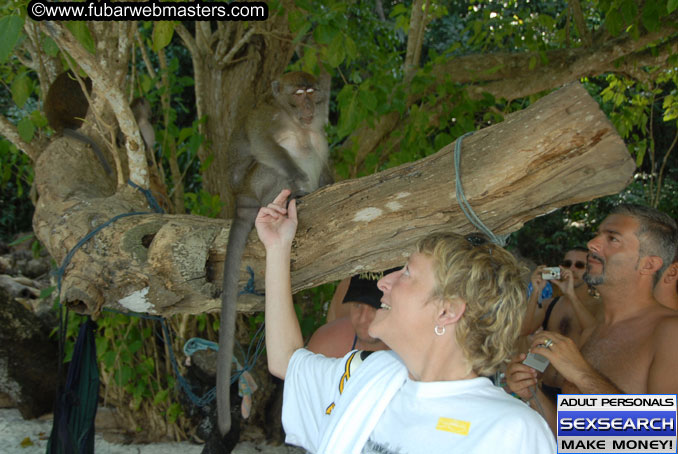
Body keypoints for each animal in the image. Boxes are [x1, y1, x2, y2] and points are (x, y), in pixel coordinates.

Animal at [218, 69, 334, 434]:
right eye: (299, 94)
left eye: (311, 92)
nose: (310, 106)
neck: (290, 115)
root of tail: (240, 199)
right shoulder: (266, 115)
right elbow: (261, 141)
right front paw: (298, 176)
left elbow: (319, 143)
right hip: (258, 184)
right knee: (283, 154)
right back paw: (294, 193)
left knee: (314, 140)